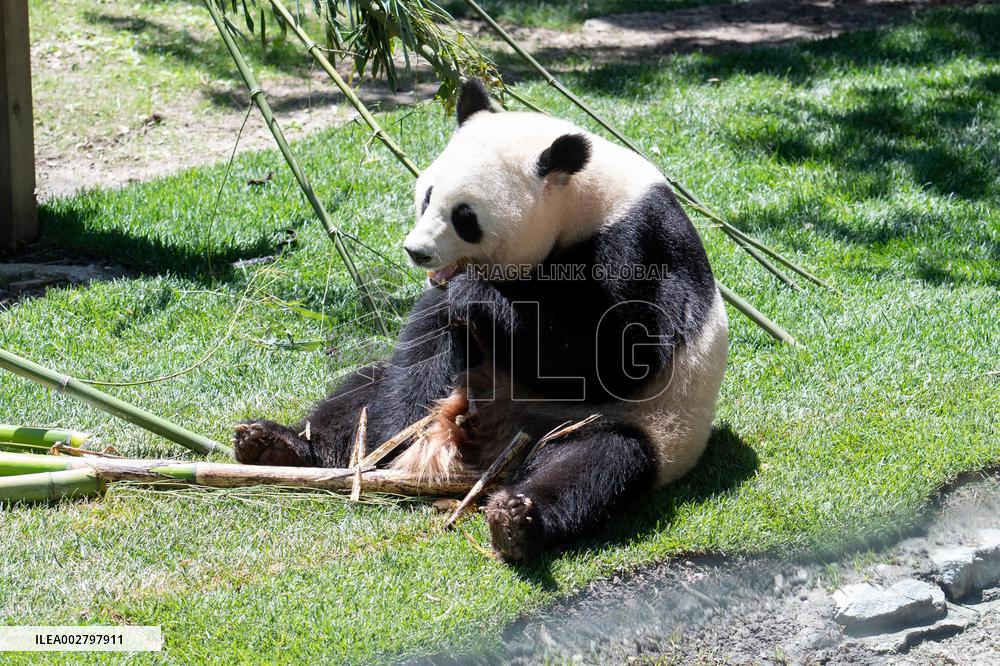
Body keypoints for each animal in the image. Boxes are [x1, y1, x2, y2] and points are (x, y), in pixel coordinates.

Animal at [233, 79, 728, 562]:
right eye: (427, 196)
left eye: (465, 216)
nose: (416, 251)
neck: (580, 198)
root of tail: (489, 453)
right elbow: (424, 354)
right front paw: (395, 441)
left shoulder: (635, 244)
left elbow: (615, 357)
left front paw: (479, 297)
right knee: (358, 397)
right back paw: (279, 445)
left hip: (632, 424)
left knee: (597, 461)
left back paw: (518, 521)